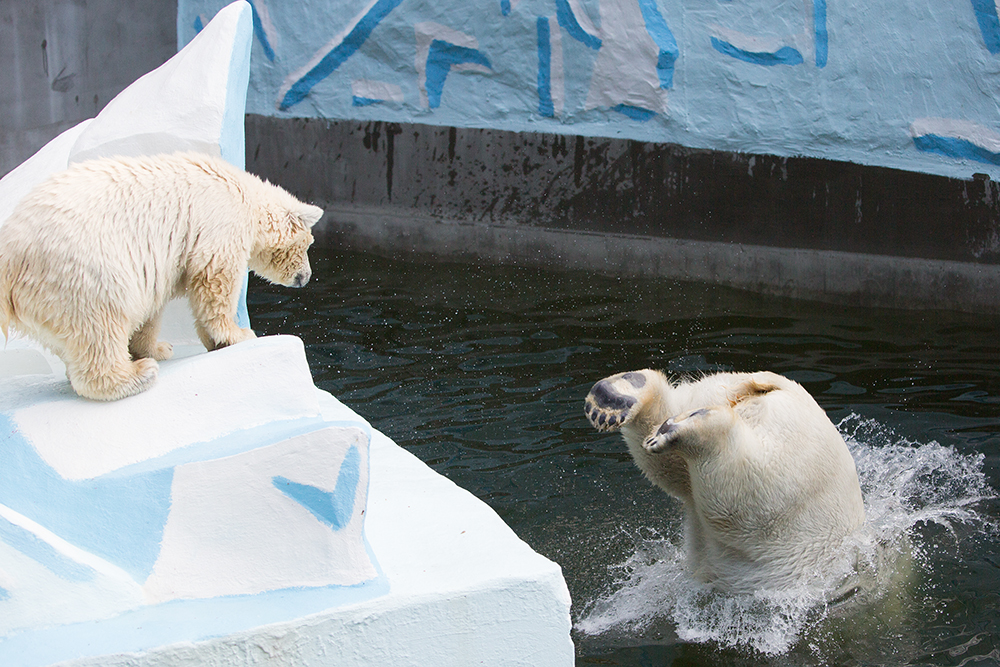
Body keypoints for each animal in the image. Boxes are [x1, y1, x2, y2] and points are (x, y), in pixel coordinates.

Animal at [584, 370, 868, 596]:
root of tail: (782, 385)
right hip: (792, 481)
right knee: (738, 495)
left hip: (721, 394)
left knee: (678, 473)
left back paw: (616, 397)